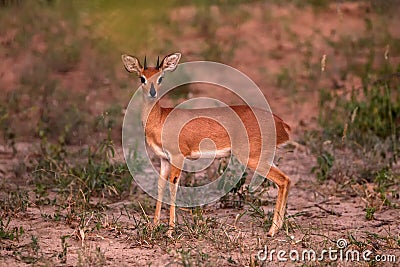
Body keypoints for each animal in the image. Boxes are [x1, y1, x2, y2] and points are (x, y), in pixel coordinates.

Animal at [120, 53, 292, 238]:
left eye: (160, 77)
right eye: (142, 78)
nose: (152, 93)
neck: (160, 120)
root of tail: (281, 123)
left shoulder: (178, 156)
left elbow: (173, 186)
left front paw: (170, 230)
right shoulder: (164, 159)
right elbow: (160, 187)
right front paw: (154, 226)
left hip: (252, 157)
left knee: (282, 180)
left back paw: (272, 230)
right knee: (287, 180)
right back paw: (277, 227)